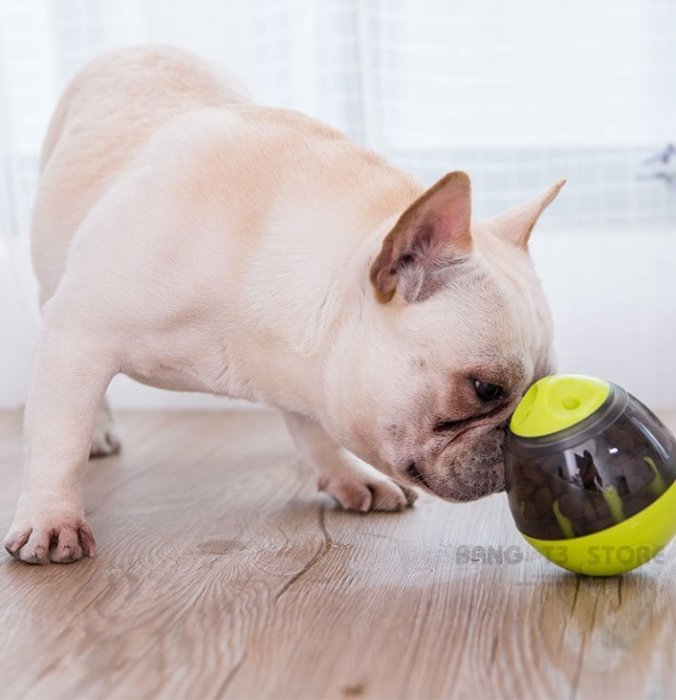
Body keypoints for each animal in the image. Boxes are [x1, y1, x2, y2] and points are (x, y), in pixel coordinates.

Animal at [5, 46, 564, 564]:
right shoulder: (78, 336)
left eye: (542, 388)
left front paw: (346, 475)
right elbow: (58, 441)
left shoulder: (302, 365)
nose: (520, 438)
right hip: (53, 287)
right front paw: (51, 520)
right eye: (484, 389)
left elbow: (313, 426)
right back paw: (98, 431)